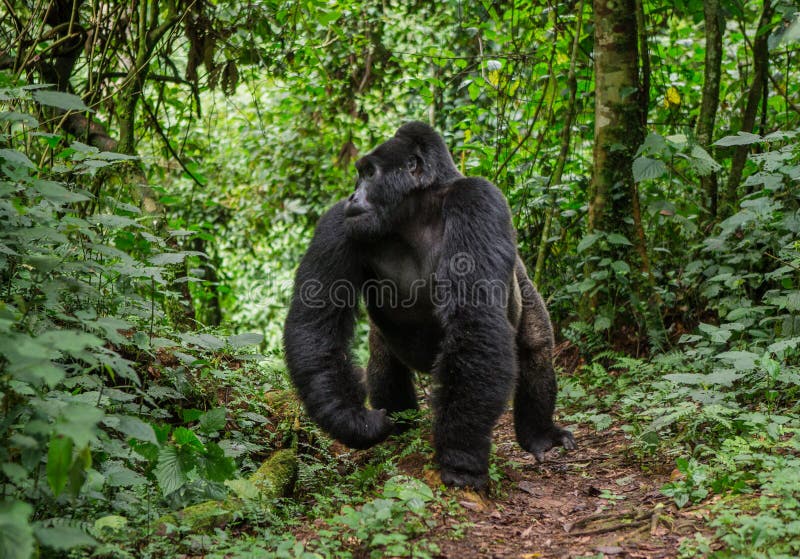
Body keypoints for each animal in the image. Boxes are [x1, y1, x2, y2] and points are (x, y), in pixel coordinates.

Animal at [282, 122, 576, 490]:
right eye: (359, 175)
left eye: (369, 173)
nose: (352, 197)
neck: (414, 213)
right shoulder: (339, 221)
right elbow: (316, 321)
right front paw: (352, 421)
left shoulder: (478, 199)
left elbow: (475, 319)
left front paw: (461, 456)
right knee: (383, 359)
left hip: (523, 282)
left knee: (535, 345)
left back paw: (539, 434)